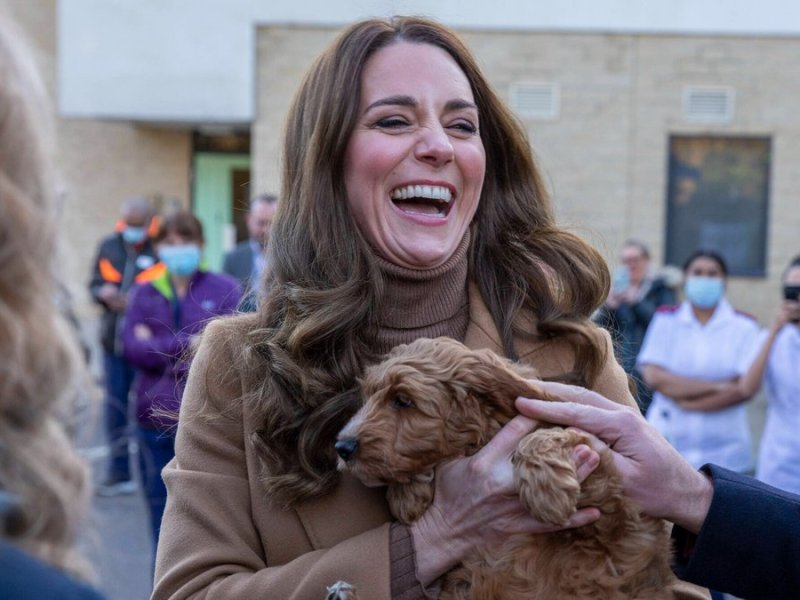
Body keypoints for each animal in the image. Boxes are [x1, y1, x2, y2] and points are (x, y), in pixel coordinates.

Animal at [328, 338, 680, 600]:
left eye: (402, 400)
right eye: (368, 398)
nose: (342, 447)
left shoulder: (616, 517)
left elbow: (548, 435)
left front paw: (549, 494)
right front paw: (409, 495)